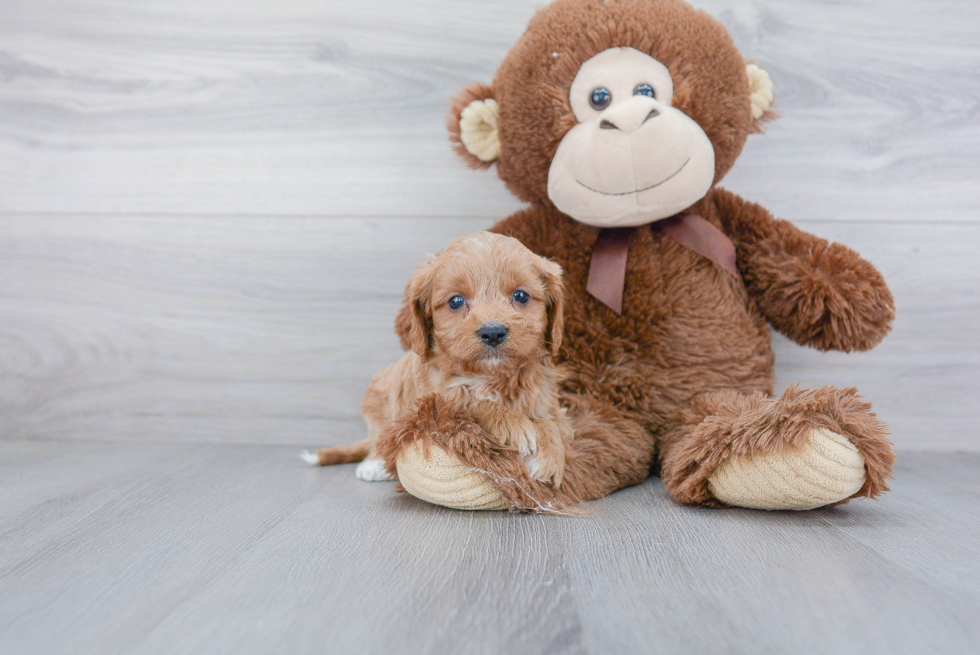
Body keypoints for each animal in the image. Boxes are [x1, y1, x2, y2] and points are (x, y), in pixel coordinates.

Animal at [302, 232, 572, 486]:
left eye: (521, 296)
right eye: (456, 301)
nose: (493, 332)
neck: (488, 376)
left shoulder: (545, 396)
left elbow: (551, 421)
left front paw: (549, 454)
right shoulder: (435, 401)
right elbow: (471, 401)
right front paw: (512, 424)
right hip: (375, 404)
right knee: (379, 439)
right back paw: (374, 465)